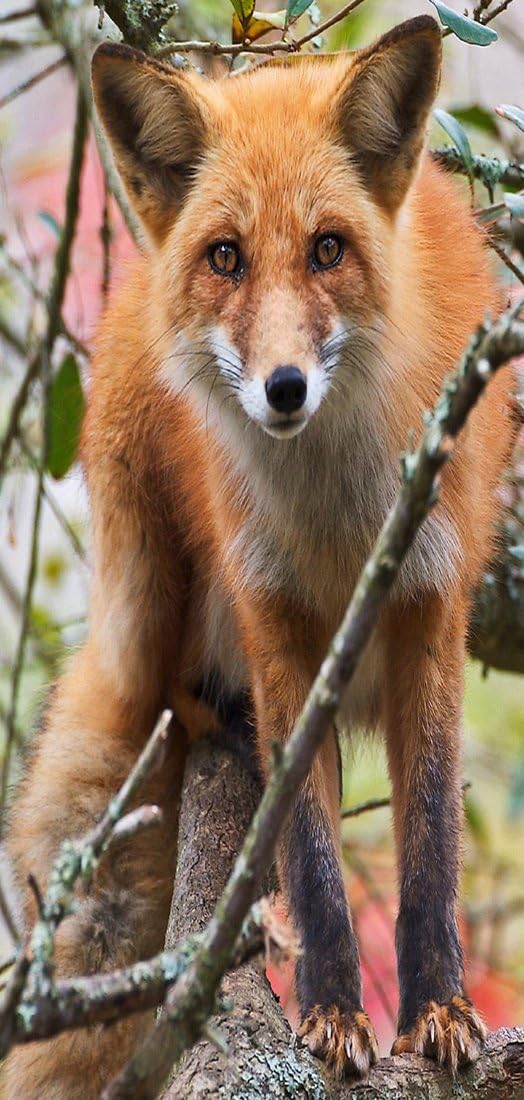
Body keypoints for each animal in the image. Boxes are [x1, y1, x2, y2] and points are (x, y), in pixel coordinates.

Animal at [3, 14, 516, 1097]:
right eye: (227, 257)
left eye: (327, 249)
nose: (283, 387)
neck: (339, 525)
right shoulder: (274, 615)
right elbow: (314, 860)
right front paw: (330, 1013)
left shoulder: (430, 604)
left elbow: (430, 839)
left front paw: (438, 1009)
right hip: (148, 576)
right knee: (175, 696)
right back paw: (221, 724)